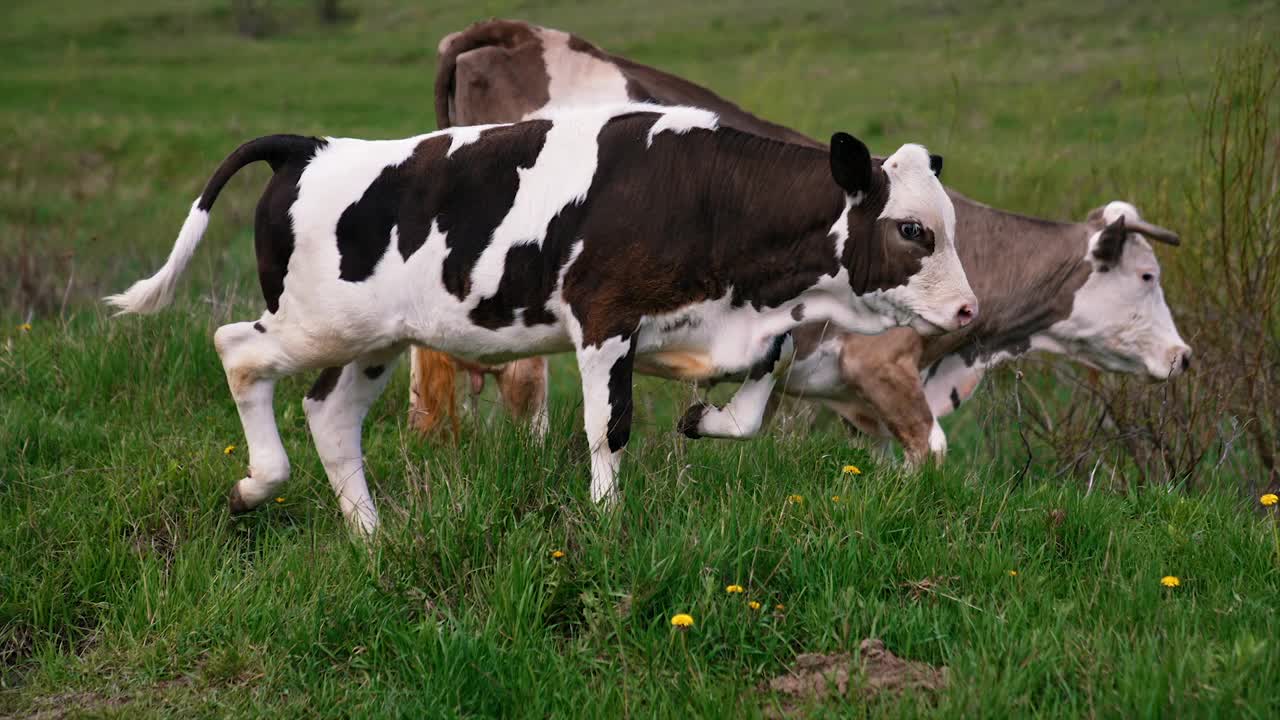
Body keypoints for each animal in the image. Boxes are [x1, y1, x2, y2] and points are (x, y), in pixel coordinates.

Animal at [110, 102, 972, 532]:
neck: (706, 194)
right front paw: (607, 519)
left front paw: (705, 421)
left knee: (329, 413)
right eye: (912, 230)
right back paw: (256, 485)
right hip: (316, 324)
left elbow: (766, 381)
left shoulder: (722, 324)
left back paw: (372, 537)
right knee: (237, 349)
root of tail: (310, 146)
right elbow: (608, 428)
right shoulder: (604, 318)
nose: (968, 308)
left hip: (375, 340)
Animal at [414, 19, 1192, 461]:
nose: (1184, 357)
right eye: (1147, 278)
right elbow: (934, 452)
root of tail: (509, 31)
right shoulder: (885, 366)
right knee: (523, 381)